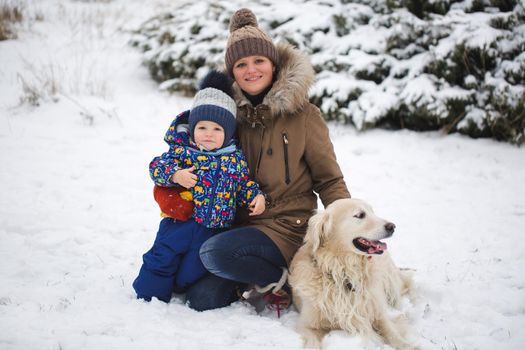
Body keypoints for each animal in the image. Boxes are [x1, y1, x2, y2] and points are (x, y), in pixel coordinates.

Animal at [288, 198, 416, 348]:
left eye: (372, 212)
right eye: (360, 215)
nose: (392, 226)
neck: (345, 272)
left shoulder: (376, 311)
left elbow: (391, 332)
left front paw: (407, 345)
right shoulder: (306, 325)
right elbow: (312, 343)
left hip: (389, 280)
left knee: (407, 284)